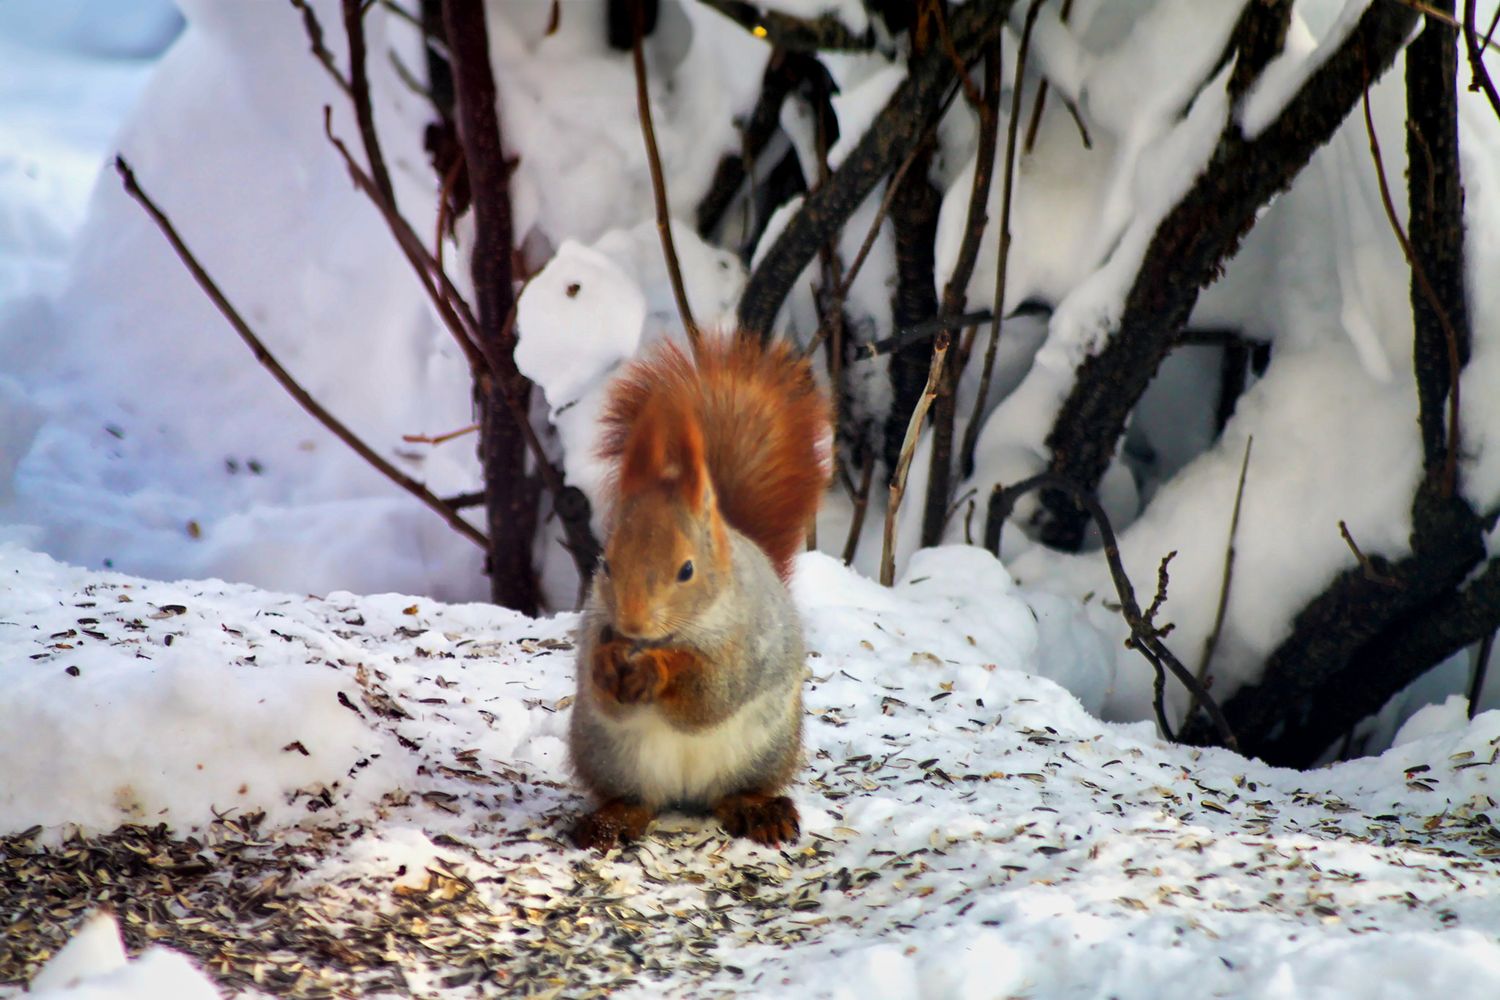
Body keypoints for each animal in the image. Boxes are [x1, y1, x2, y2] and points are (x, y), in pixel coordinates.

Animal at [567, 333, 831, 851]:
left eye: (686, 569)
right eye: (605, 563)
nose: (631, 623)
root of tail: (685, 794)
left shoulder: (744, 647)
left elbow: (709, 695)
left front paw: (655, 670)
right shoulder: (595, 631)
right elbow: (606, 697)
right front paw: (607, 665)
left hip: (765, 750)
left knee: (732, 793)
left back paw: (757, 811)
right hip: (608, 754)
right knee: (637, 799)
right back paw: (612, 820)